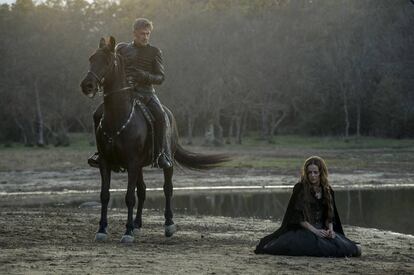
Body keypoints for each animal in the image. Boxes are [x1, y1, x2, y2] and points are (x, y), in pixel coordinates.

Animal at [79, 37, 228, 244]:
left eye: (107, 62)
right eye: (91, 58)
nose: (87, 85)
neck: (119, 117)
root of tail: (169, 114)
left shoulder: (132, 163)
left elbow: (129, 197)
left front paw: (127, 233)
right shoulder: (106, 163)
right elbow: (105, 195)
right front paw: (102, 229)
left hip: (165, 162)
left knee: (167, 189)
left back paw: (168, 225)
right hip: (140, 166)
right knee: (142, 191)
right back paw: (137, 224)